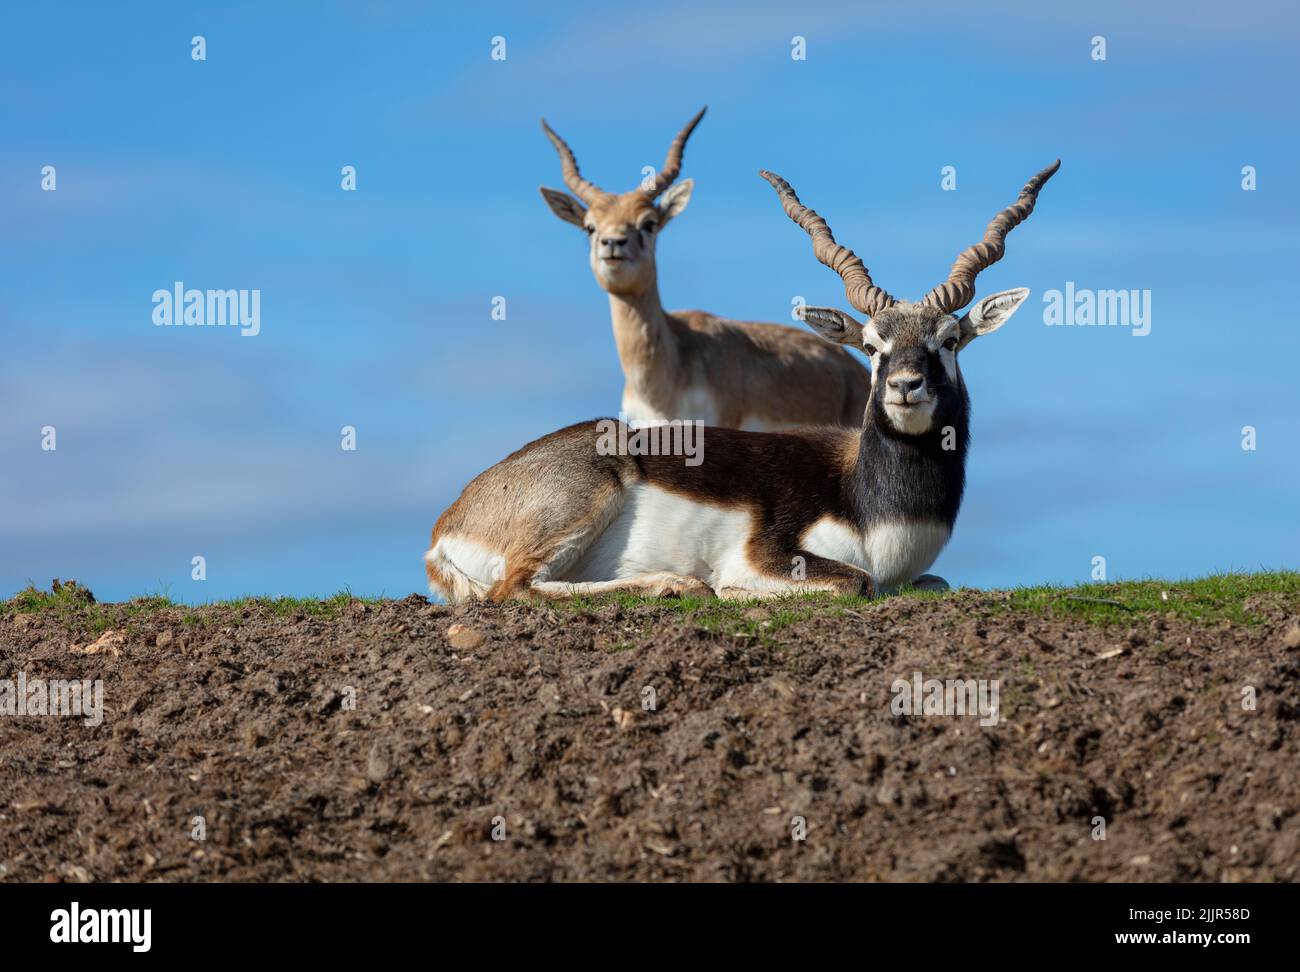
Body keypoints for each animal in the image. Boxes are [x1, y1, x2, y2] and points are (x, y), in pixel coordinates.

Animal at [431, 159, 1060, 600]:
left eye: (949, 340)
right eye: (872, 346)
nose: (906, 386)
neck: (872, 500)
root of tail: (451, 519)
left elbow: (936, 582)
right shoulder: (773, 556)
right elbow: (855, 581)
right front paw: (730, 591)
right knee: (510, 589)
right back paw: (678, 585)